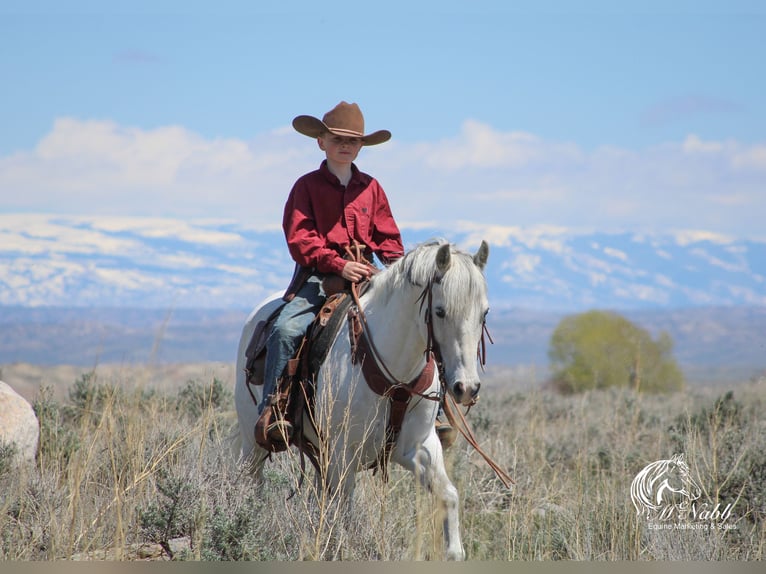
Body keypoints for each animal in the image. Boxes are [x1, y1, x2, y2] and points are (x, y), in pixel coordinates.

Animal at [232, 240, 492, 564]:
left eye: (484, 313)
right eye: (440, 311)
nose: (466, 387)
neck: (395, 375)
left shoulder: (419, 447)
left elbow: (449, 496)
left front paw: (454, 551)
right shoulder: (342, 454)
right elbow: (342, 515)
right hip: (253, 442)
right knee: (251, 481)